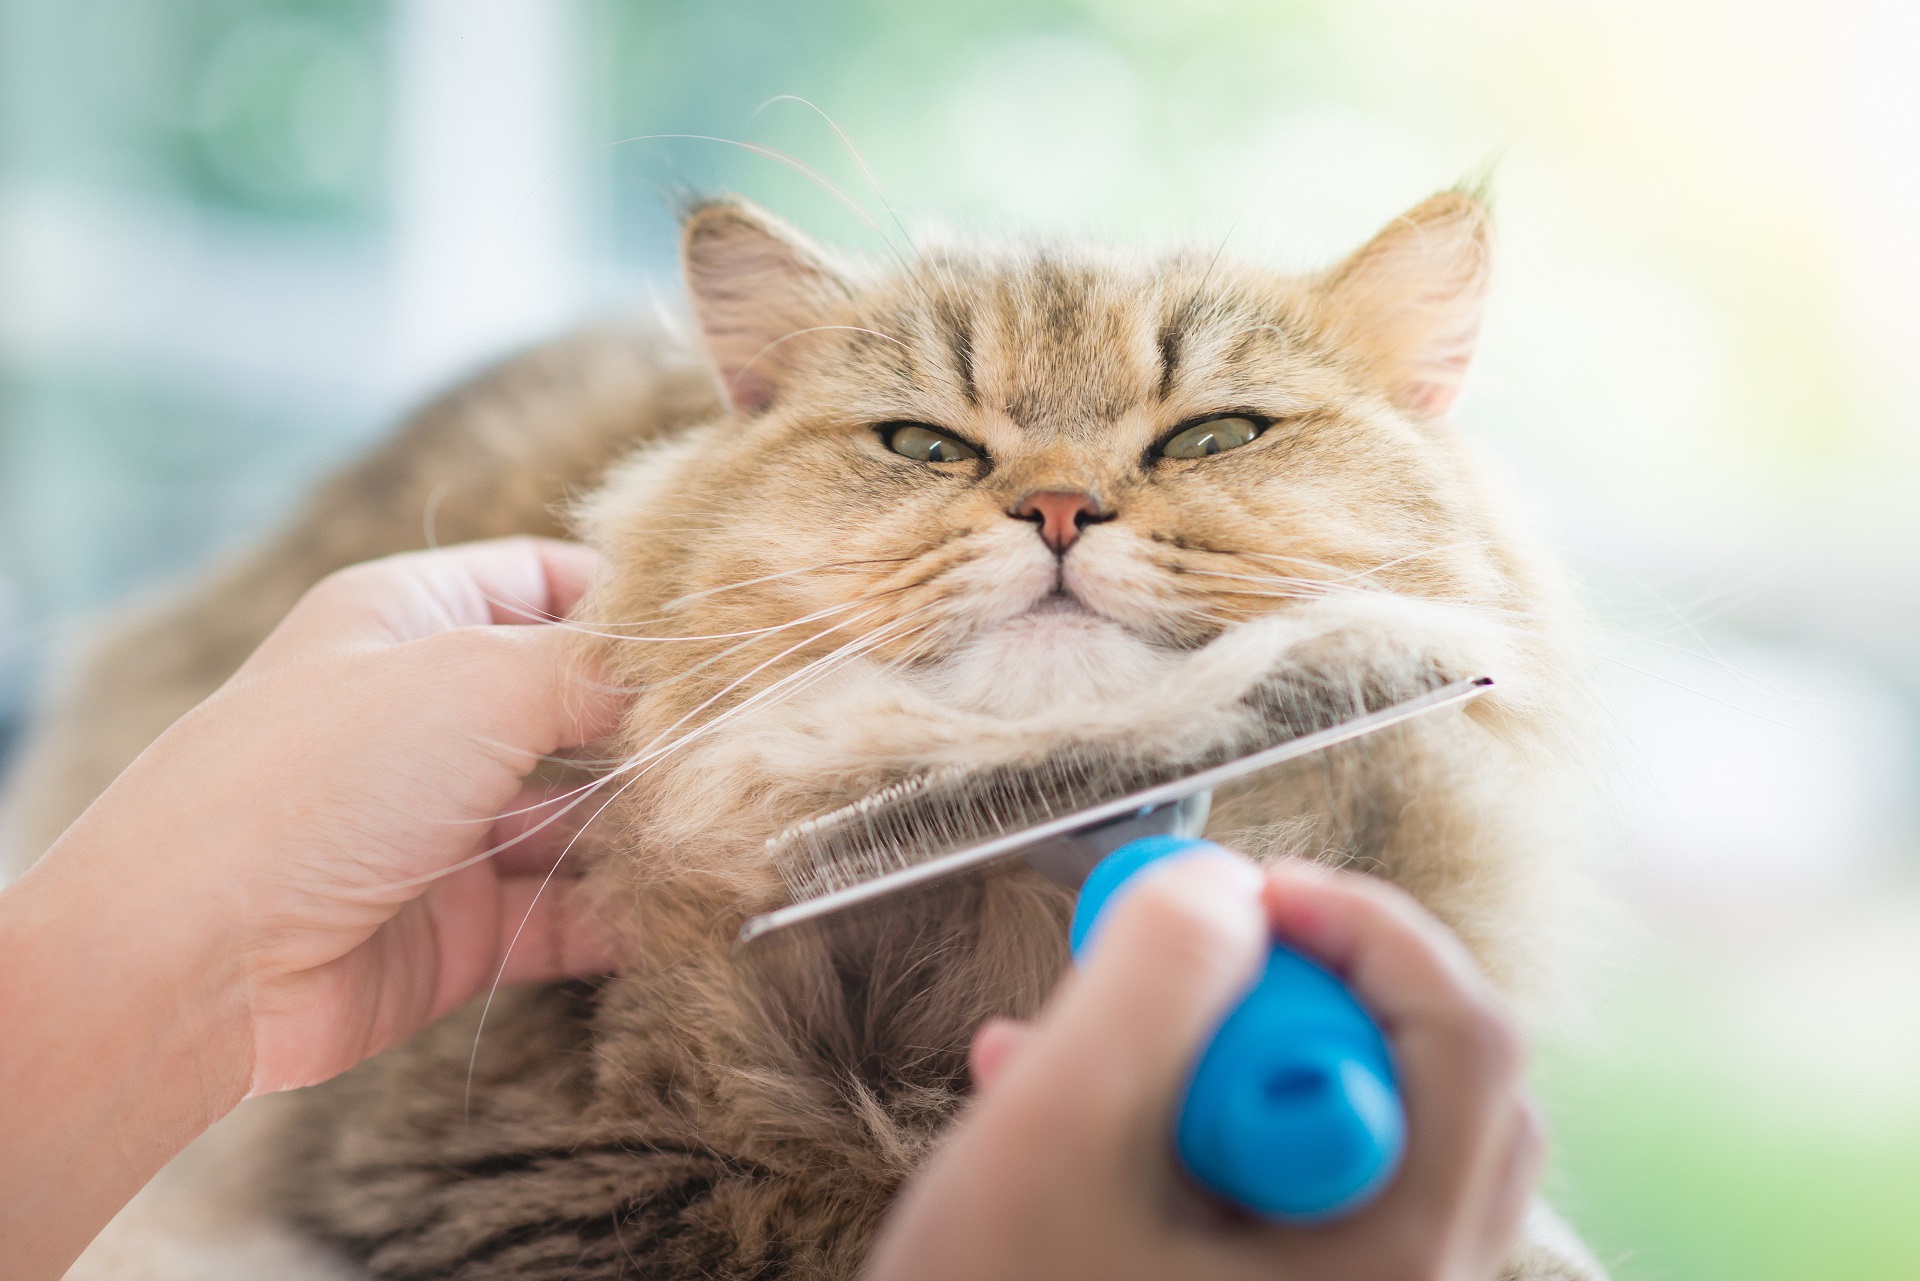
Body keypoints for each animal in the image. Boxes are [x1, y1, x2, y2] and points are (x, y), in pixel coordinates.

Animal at [3, 190, 1605, 1281]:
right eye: (927, 446)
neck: (1005, 910)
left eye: (1211, 438)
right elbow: (828, 1212)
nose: (1060, 509)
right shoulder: (497, 1173)